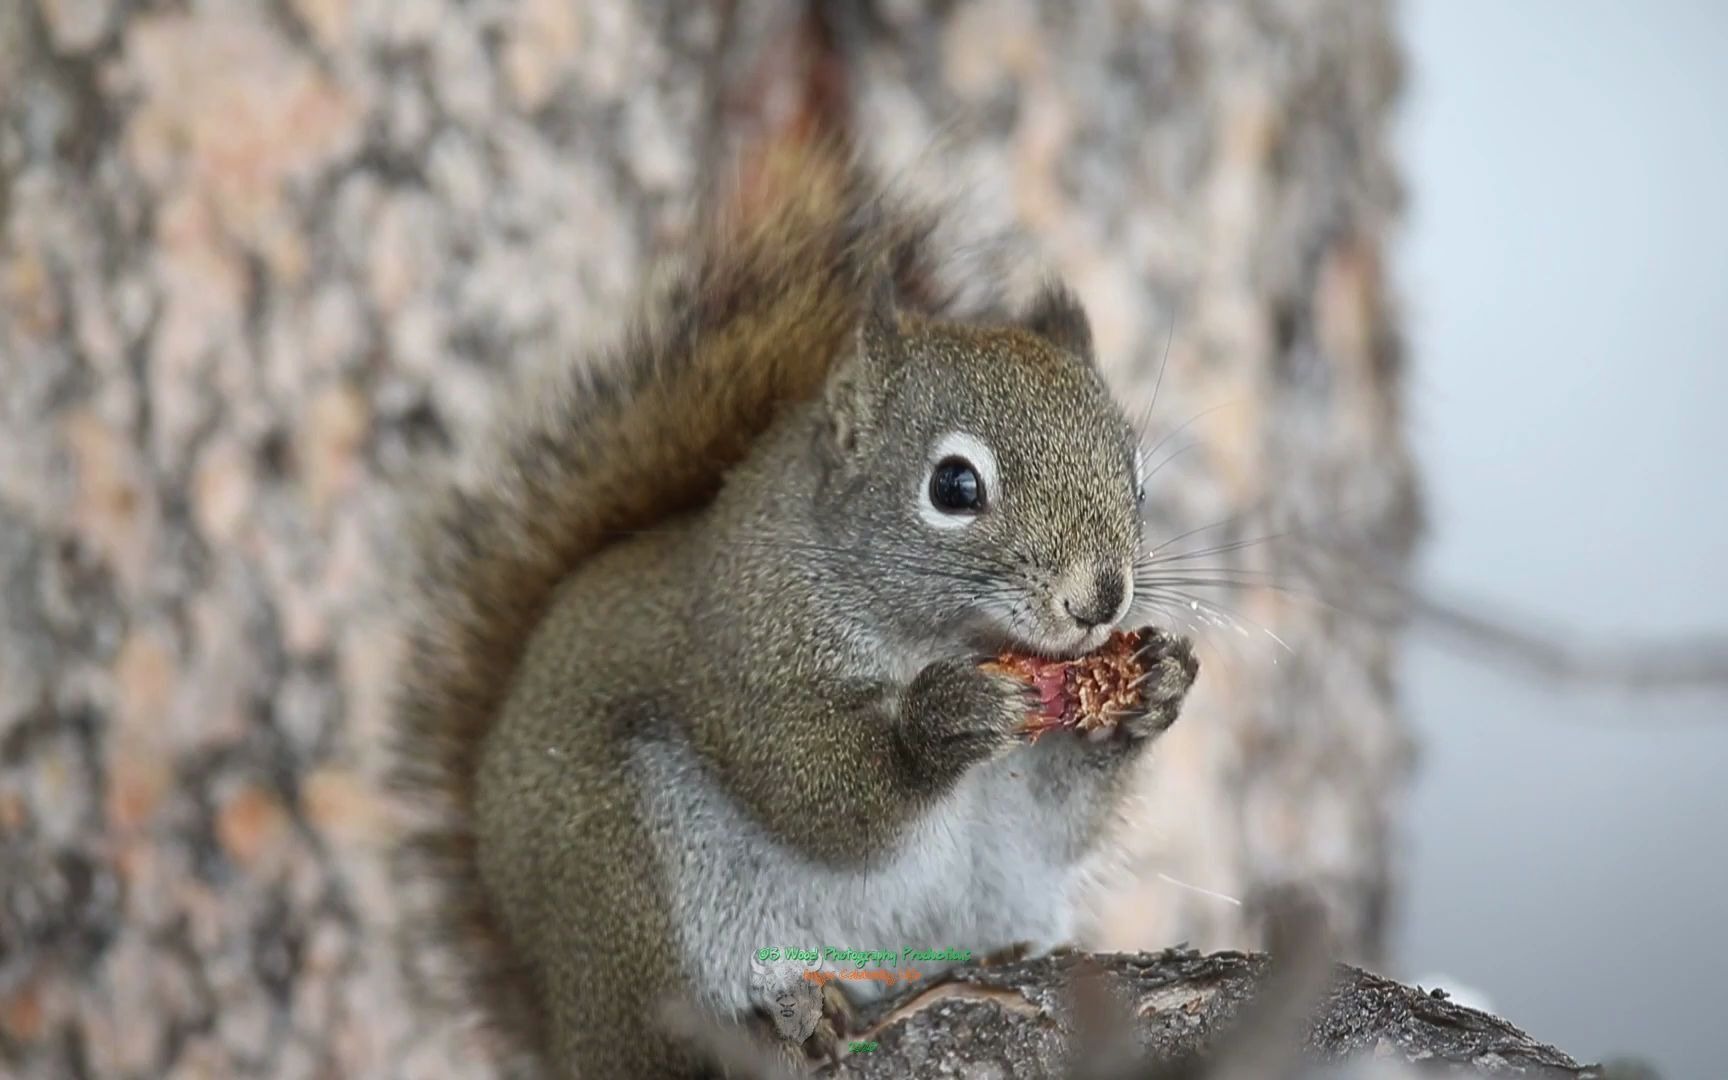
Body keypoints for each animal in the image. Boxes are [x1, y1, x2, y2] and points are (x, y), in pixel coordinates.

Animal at [392, 136, 1202, 1078]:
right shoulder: (742, 658)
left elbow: (1056, 815)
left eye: (1138, 479)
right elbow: (813, 796)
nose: (1101, 597)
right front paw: (944, 721)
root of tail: (556, 1024)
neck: (937, 634)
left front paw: (1154, 688)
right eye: (954, 486)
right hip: (617, 876)